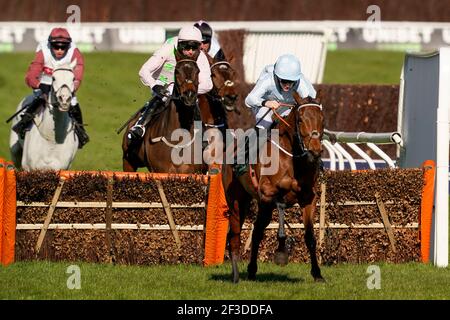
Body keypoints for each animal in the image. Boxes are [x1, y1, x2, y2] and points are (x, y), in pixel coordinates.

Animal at [221, 90, 324, 282]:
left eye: (322, 119)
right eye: (300, 119)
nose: (315, 151)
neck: (292, 158)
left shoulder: (308, 198)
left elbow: (310, 237)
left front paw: (317, 274)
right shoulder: (266, 192)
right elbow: (279, 202)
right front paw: (282, 249)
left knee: (256, 232)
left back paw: (252, 270)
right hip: (236, 201)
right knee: (235, 235)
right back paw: (236, 274)